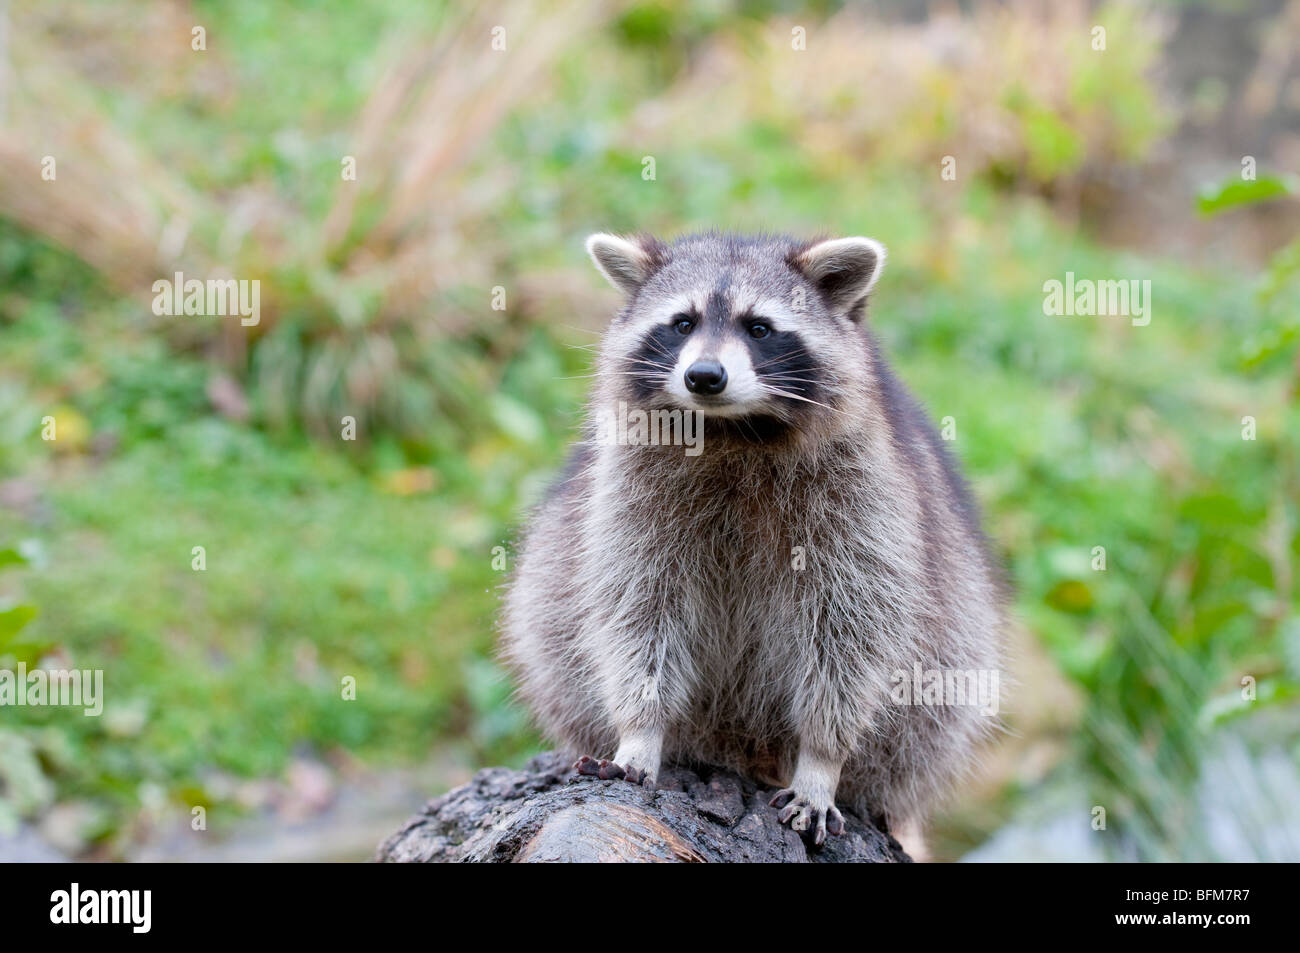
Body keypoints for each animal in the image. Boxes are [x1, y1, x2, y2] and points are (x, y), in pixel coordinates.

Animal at [496, 230, 1003, 847]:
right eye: (682, 323)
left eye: (759, 327)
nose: (704, 376)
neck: (731, 431)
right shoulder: (630, 499)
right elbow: (637, 608)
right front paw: (640, 730)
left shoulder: (865, 500)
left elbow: (853, 629)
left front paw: (821, 760)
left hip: (944, 677)